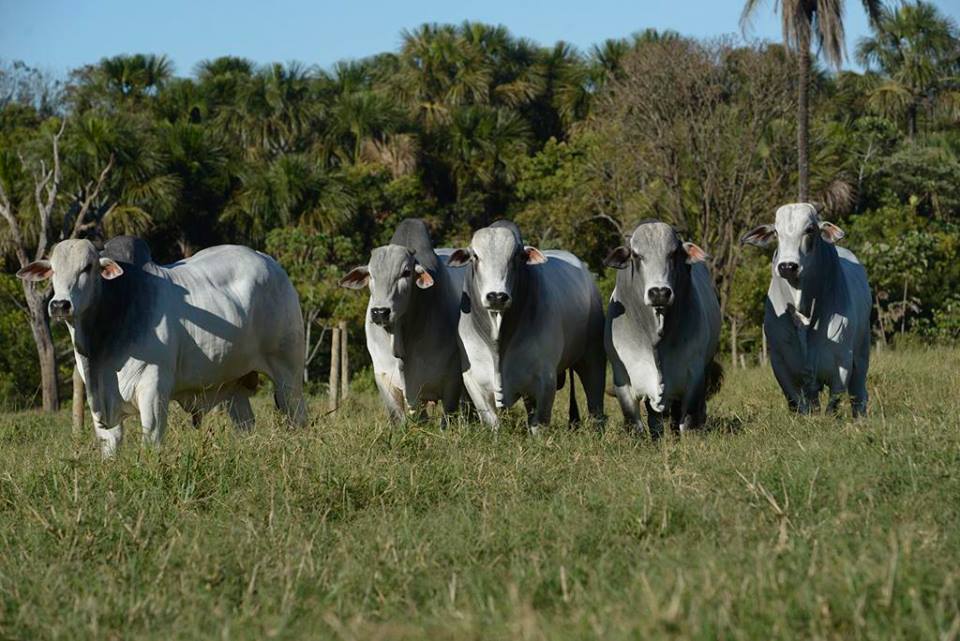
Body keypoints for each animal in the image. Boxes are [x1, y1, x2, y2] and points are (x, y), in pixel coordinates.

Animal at [16, 236, 306, 456]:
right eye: (53, 269)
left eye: (87, 267)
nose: (59, 305)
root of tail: (270, 262)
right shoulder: (101, 405)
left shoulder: (153, 391)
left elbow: (151, 444)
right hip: (234, 385)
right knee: (245, 424)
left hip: (288, 373)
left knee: (296, 415)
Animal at [448, 218, 600, 432]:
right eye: (475, 256)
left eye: (516, 257)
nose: (496, 296)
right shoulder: (473, 379)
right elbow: (492, 422)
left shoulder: (545, 379)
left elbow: (538, 424)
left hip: (592, 356)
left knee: (595, 397)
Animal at [600, 220, 720, 436]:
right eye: (636, 255)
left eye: (673, 253)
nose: (659, 293)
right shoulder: (622, 377)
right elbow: (635, 423)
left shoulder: (694, 375)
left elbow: (687, 421)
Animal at [740, 204, 872, 416]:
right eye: (776, 232)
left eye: (810, 229)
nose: (787, 266)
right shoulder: (781, 365)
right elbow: (799, 405)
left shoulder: (842, 363)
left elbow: (833, 405)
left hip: (862, 354)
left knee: (858, 394)